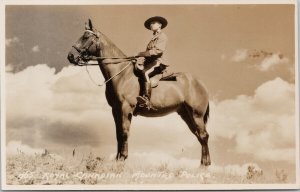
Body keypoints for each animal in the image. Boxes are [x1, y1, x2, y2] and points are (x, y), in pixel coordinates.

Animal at [67, 19, 211, 166]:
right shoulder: (116, 109)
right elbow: (118, 133)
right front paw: (118, 159)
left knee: (203, 135)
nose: (71, 56)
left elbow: (124, 133)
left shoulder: (126, 108)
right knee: (199, 135)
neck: (122, 74)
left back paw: (204, 165)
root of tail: (200, 83)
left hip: (196, 114)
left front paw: (123, 158)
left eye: (86, 37)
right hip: (186, 114)